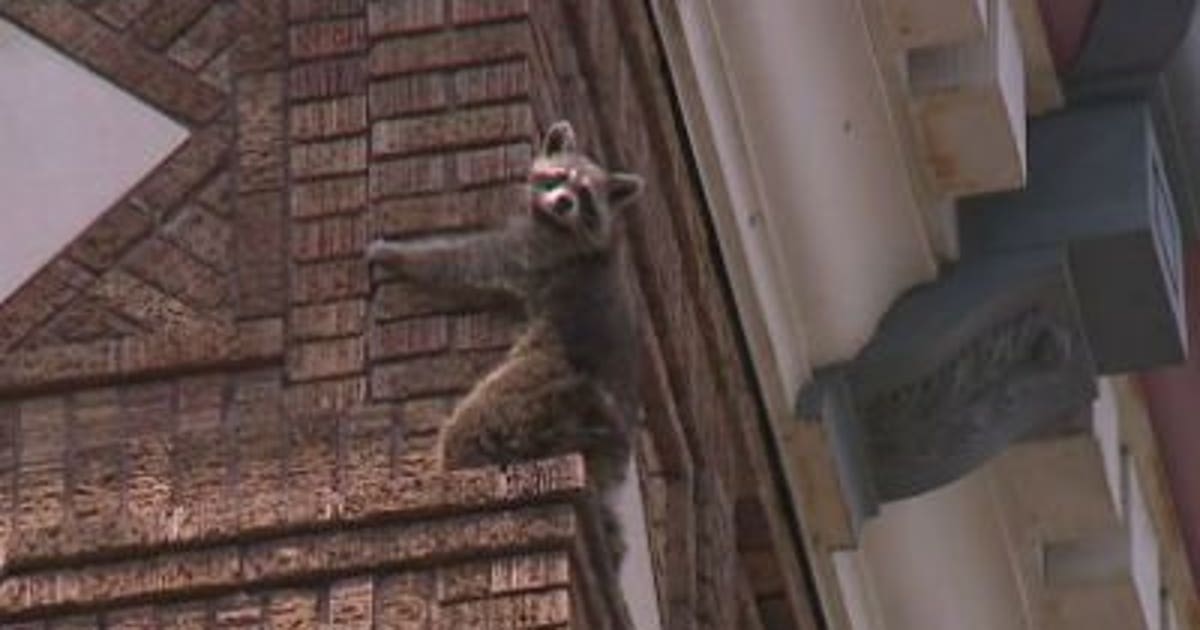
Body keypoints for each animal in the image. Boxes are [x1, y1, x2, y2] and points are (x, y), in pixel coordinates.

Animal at [366, 121, 644, 565]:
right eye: (558, 178)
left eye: (584, 196)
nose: (563, 202)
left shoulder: (540, 249)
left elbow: (470, 260)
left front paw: (401, 256)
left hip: (542, 385)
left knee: (473, 424)